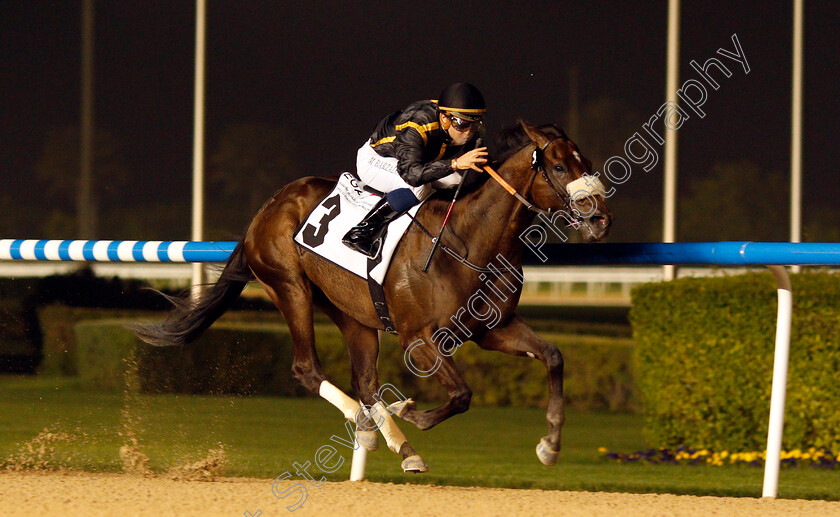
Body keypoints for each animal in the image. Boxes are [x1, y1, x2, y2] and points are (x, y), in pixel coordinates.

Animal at [135, 121, 612, 472]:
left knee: (365, 383)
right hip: (289, 286)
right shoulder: (420, 339)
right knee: (308, 369)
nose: (601, 219)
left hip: (353, 313)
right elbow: (462, 394)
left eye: (585, 161)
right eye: (559, 166)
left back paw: (397, 444)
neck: (467, 240)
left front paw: (550, 444)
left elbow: (553, 356)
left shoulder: (493, 328)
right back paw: (369, 424)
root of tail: (270, 204)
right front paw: (413, 412)